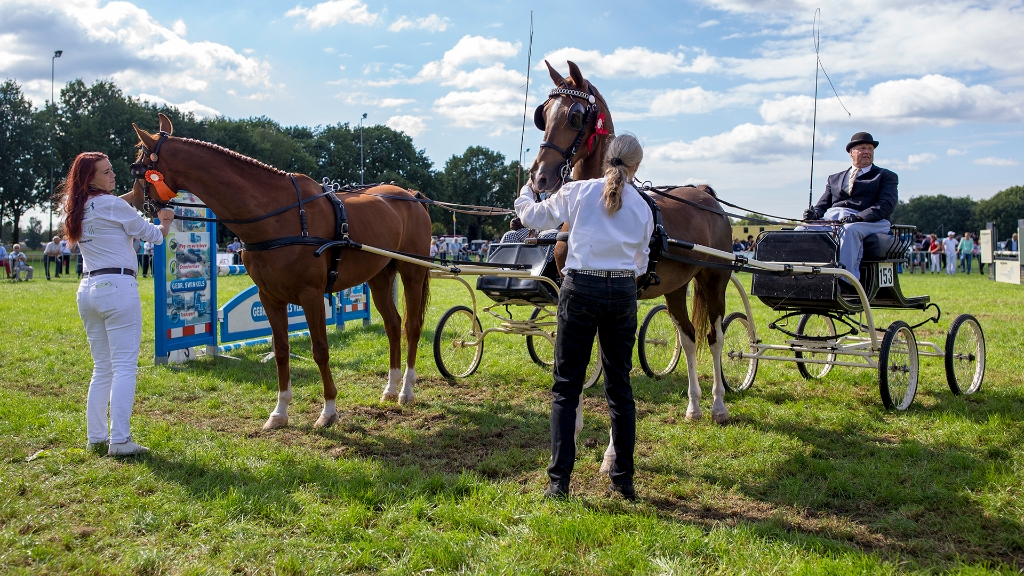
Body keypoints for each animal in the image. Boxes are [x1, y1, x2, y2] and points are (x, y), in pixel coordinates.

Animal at [129, 112, 432, 428]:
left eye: (137, 167)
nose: (134, 201)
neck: (278, 215)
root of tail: (410, 195)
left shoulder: (312, 296)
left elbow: (320, 350)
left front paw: (329, 410)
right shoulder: (270, 296)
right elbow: (282, 350)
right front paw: (280, 411)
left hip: (412, 271)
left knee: (411, 326)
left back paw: (406, 390)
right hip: (379, 276)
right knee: (393, 325)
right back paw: (391, 387)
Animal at [532, 61, 733, 430]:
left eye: (575, 116)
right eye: (544, 114)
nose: (539, 177)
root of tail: (704, 194)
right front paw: (576, 424)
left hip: (715, 282)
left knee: (714, 338)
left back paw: (718, 405)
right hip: (675, 288)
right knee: (688, 338)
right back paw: (693, 406)